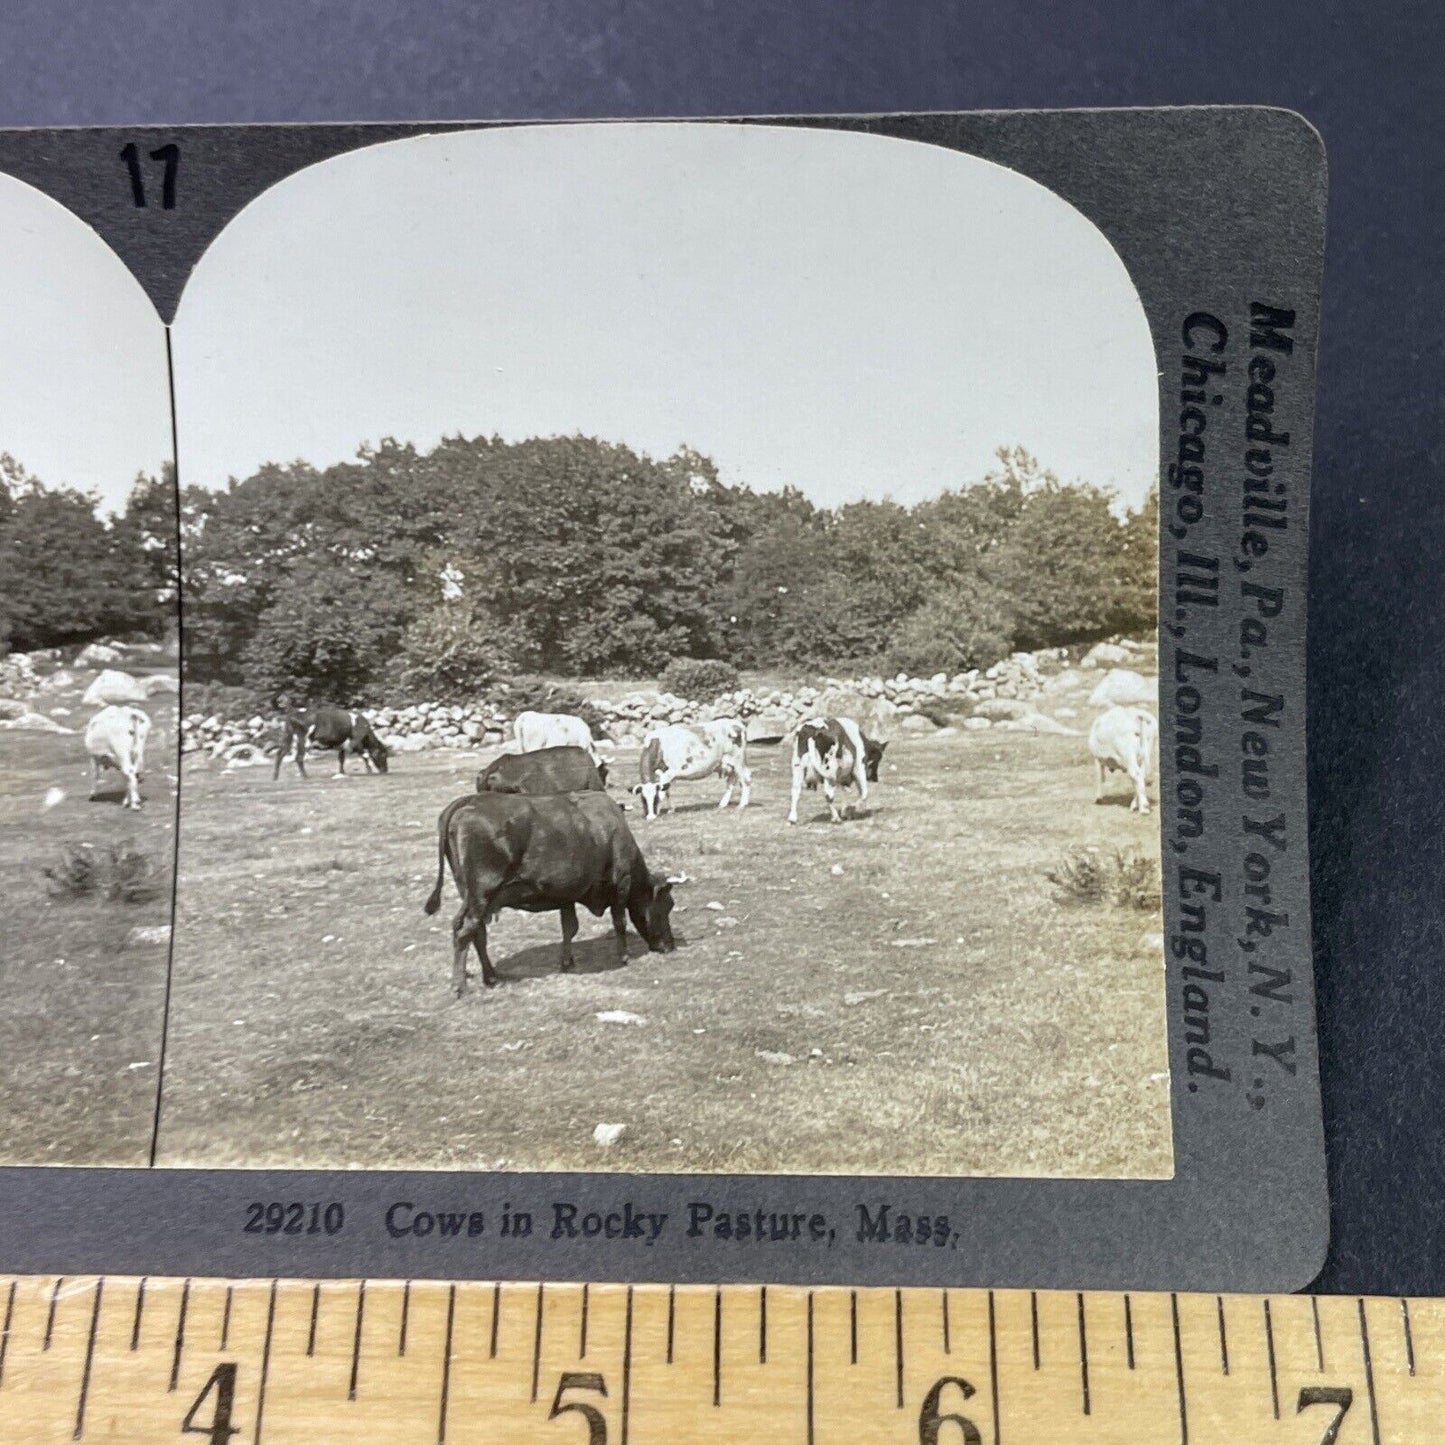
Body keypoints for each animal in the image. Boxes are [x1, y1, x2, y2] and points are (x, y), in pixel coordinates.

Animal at [421, 791, 682, 994]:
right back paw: (460, 986)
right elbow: (619, 922)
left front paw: (567, 961)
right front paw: (624, 956)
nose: (670, 946)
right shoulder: (621, 884)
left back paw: (491, 976)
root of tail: (469, 800)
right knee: (465, 932)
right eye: (667, 905)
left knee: (475, 932)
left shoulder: (567, 893)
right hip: (482, 893)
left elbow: (569, 927)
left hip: (473, 895)